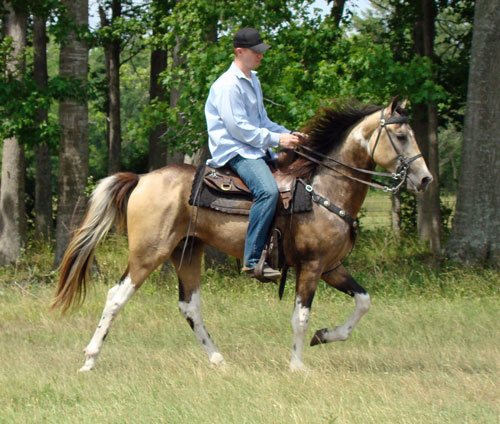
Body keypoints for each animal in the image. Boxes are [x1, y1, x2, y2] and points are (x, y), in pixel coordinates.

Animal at [51, 98, 434, 372]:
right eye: (401, 136)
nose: (425, 179)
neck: (323, 189)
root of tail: (142, 178)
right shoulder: (311, 267)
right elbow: (301, 316)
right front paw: (298, 365)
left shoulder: (330, 267)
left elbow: (363, 301)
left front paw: (325, 336)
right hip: (149, 253)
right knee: (116, 297)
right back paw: (89, 359)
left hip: (187, 251)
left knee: (190, 306)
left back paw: (219, 360)